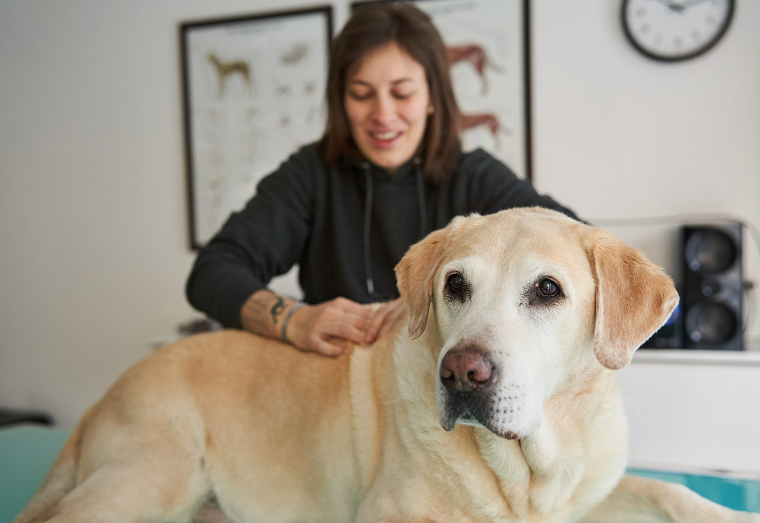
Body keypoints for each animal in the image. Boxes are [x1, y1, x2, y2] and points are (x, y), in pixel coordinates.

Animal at [13, 209, 760, 523]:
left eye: (547, 290)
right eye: (455, 285)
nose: (461, 373)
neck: (528, 471)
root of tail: (101, 399)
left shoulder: (590, 491)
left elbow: (665, 488)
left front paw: (719, 514)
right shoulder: (392, 514)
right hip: (155, 479)